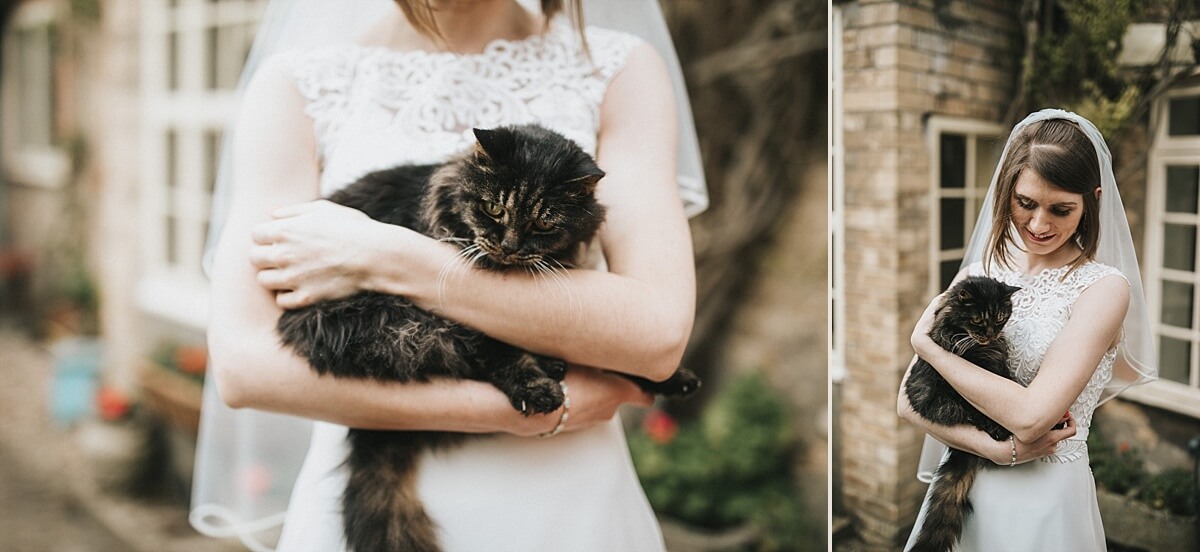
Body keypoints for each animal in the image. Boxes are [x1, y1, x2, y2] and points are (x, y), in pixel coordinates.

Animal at [273, 124, 700, 552]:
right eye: (494, 209)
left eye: (543, 225)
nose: (508, 247)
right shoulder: (460, 318)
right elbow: (501, 353)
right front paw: (535, 388)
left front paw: (672, 377)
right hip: (392, 326)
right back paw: (549, 369)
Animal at [902, 276, 1017, 552]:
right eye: (977, 320)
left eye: (1000, 317)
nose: (991, 334)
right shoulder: (953, 385)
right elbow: (980, 412)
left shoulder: (999, 369)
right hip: (940, 402)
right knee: (972, 417)